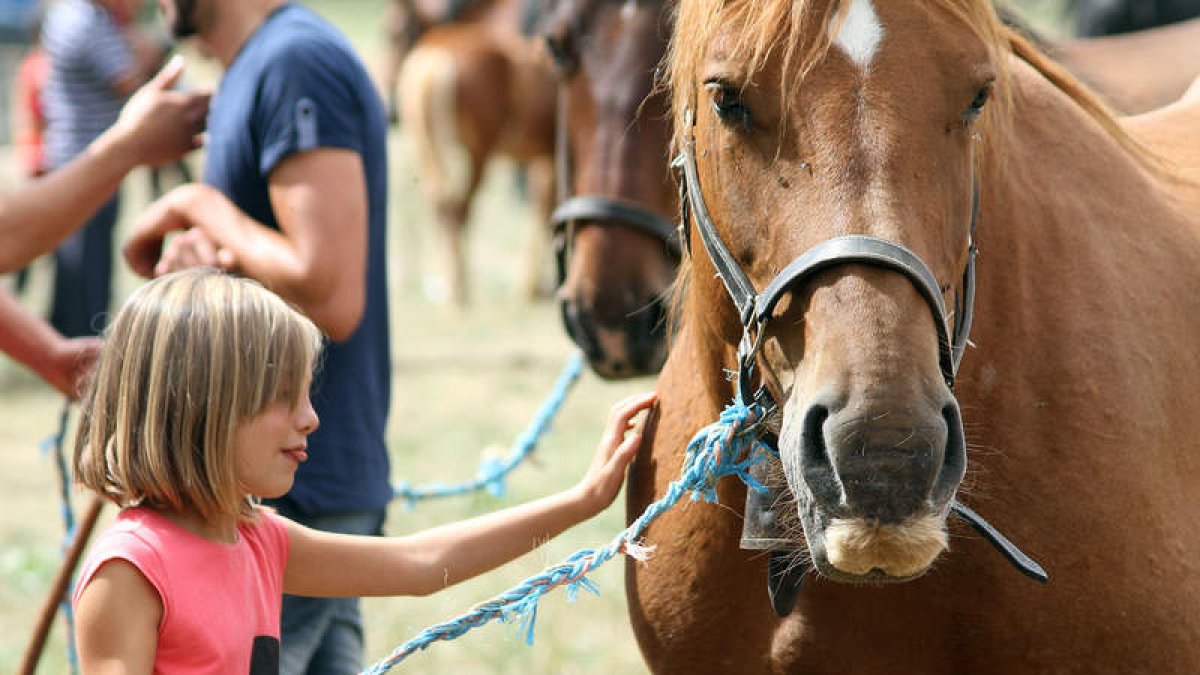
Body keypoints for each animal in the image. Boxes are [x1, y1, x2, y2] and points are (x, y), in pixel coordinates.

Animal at [397, 0, 558, 306]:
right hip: (477, 153)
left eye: (396, 34)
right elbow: (546, 210)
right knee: (458, 210)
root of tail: (437, 56)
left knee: (441, 205)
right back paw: (460, 288)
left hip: (430, 149)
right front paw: (534, 287)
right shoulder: (551, 158)